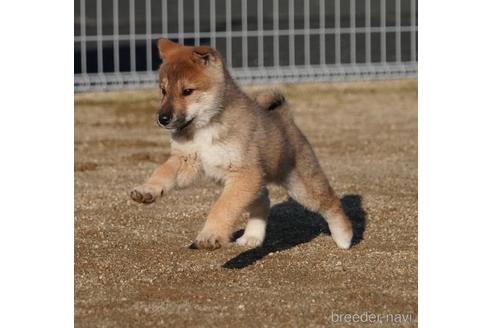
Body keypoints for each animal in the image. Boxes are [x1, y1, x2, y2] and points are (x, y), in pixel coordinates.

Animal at [131, 37, 354, 249]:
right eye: (163, 91)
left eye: (187, 91)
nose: (162, 118)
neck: (205, 127)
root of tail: (286, 118)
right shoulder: (188, 160)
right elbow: (162, 172)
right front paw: (147, 190)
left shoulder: (244, 173)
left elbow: (222, 208)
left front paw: (210, 235)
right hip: (249, 183)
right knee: (264, 200)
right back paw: (252, 237)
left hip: (300, 186)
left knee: (330, 202)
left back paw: (344, 237)